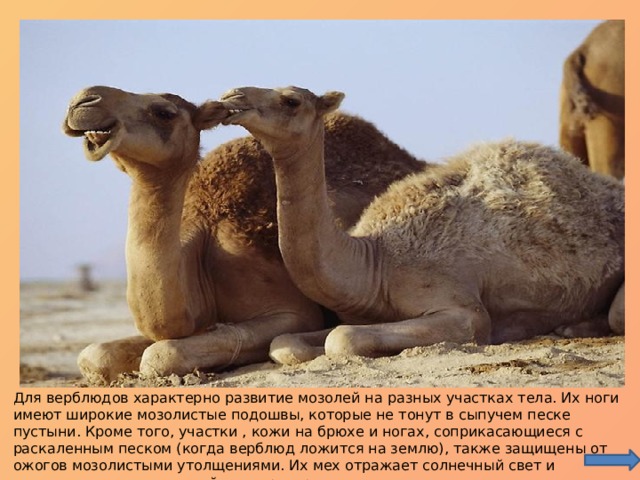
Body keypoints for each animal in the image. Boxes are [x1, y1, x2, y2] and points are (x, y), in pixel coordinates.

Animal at [219, 86, 625, 364]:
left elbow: (342, 338)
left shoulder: (460, 307)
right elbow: (285, 342)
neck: (374, 262)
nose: (232, 95)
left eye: (291, 101)